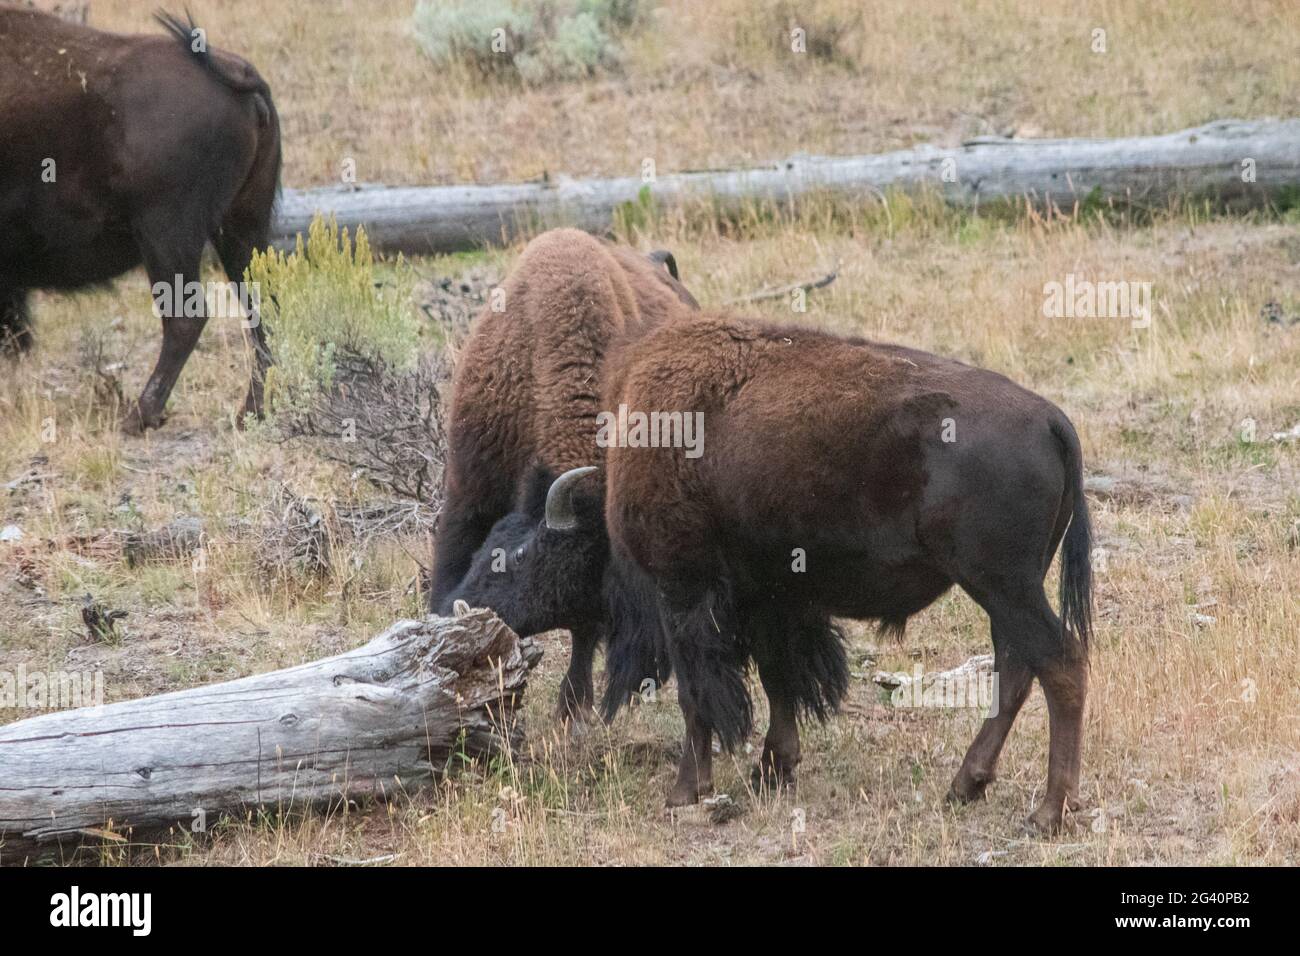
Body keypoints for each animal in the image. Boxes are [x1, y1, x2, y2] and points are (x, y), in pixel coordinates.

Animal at [0, 7, 281, 431]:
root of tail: (237, 72)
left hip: (166, 235)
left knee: (186, 319)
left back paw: (139, 417)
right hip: (242, 227)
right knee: (262, 308)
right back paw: (250, 411)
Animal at [450, 313, 1093, 833]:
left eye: (524, 556)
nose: (462, 606)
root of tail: (1052, 420)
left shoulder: (682, 594)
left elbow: (699, 693)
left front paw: (686, 791)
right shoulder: (767, 598)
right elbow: (777, 677)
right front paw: (772, 769)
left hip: (1002, 585)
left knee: (1060, 665)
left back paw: (1047, 813)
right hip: (1005, 589)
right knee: (1016, 669)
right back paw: (965, 786)